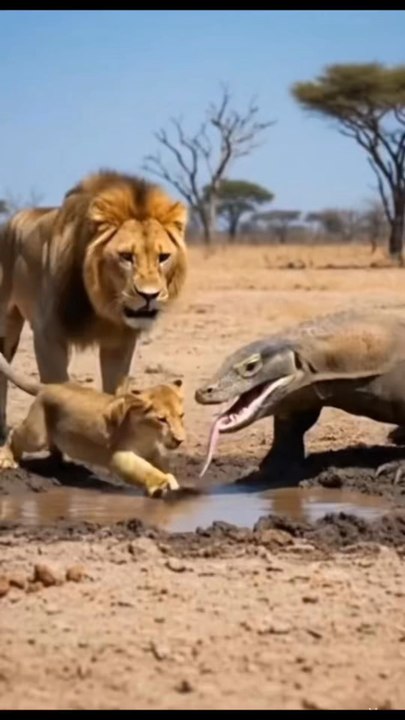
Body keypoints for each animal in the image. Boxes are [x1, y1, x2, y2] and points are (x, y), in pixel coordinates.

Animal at [0, 169, 188, 440]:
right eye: (126, 257)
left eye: (163, 257)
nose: (149, 295)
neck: (102, 307)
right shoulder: (48, 337)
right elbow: (56, 387)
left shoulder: (120, 343)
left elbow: (116, 392)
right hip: (6, 321)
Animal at [0, 352, 186, 497]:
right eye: (162, 419)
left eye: (181, 415)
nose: (180, 440)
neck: (148, 434)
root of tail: (47, 386)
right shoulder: (119, 455)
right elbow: (145, 470)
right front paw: (162, 482)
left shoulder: (153, 451)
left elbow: (162, 466)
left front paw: (173, 482)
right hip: (37, 436)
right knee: (14, 433)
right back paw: (7, 460)